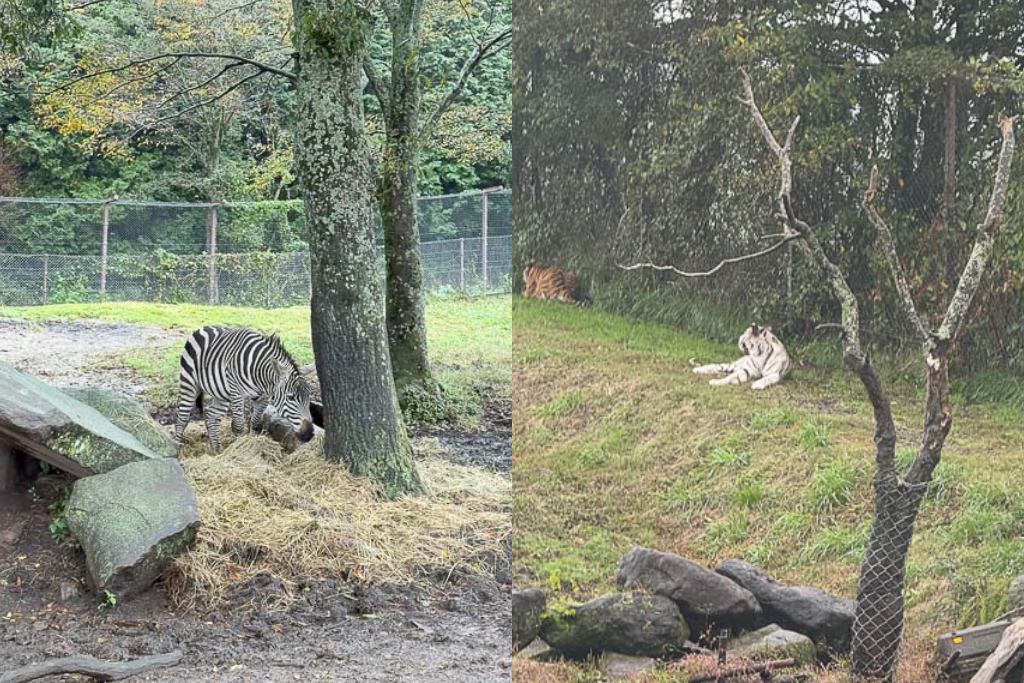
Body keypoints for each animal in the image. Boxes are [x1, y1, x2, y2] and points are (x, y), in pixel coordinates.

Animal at [174, 327, 313, 454]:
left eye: (309, 398)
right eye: (291, 397)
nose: (309, 434)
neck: (261, 376)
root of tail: (203, 328)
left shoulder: (263, 398)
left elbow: (255, 422)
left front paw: (253, 442)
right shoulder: (237, 393)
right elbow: (238, 425)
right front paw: (238, 448)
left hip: (222, 393)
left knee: (211, 415)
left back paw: (217, 449)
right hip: (189, 383)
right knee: (182, 418)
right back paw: (176, 448)